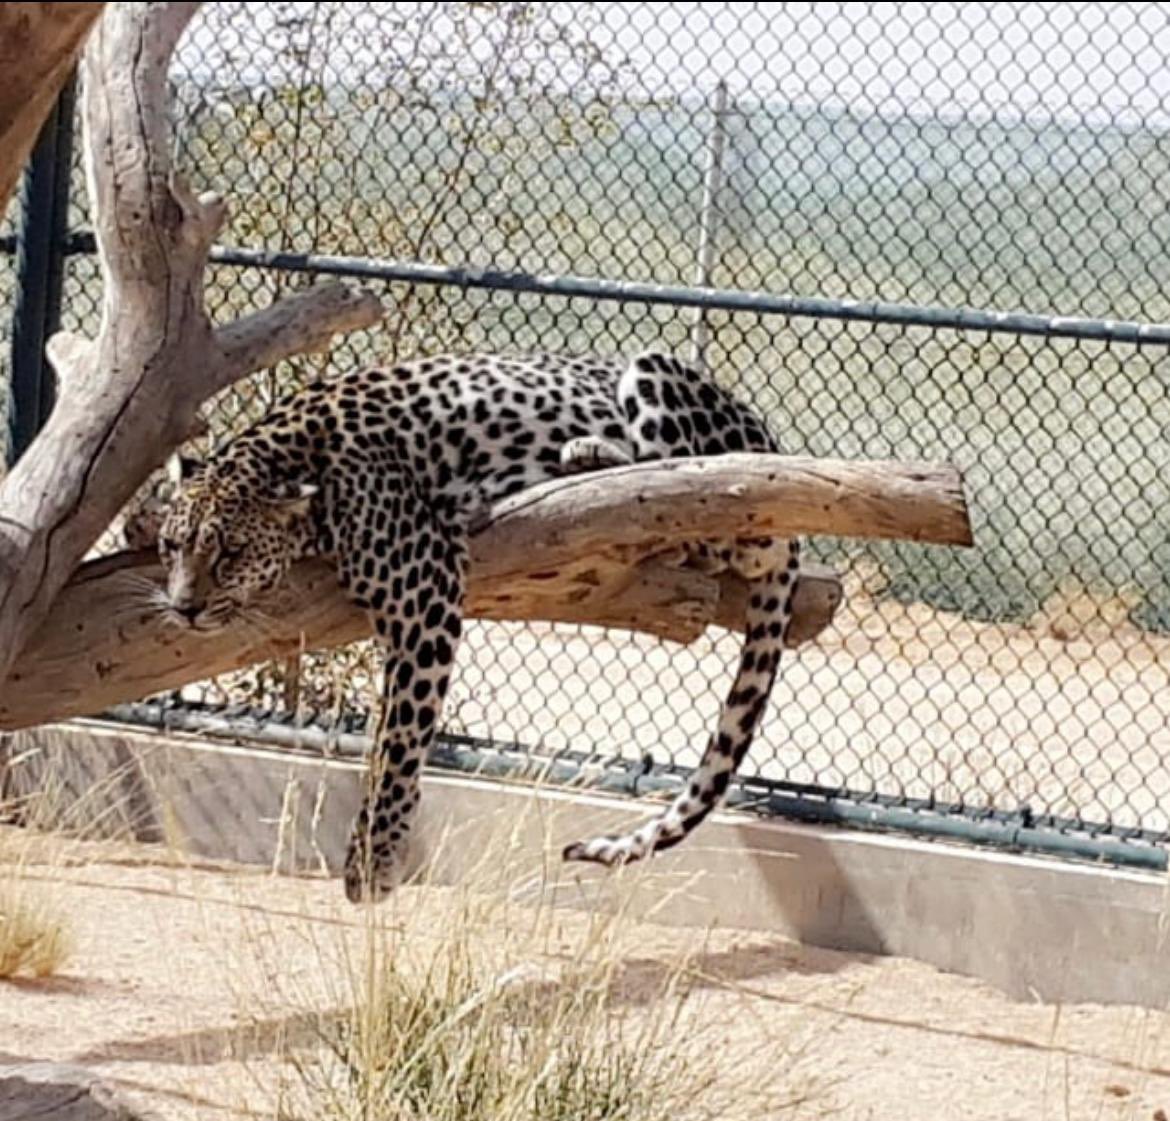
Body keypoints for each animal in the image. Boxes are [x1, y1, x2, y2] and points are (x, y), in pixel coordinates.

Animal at [155, 349, 802, 904]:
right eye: (171, 546)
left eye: (230, 554)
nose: (184, 608)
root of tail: (769, 440)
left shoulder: (425, 596)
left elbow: (398, 740)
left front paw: (375, 860)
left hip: (664, 384)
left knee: (706, 512)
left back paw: (604, 464)